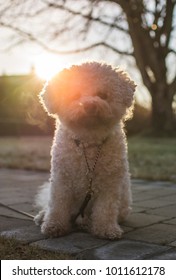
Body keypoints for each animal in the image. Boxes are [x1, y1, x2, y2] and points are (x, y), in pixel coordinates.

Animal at [34, 62, 136, 240]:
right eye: (74, 95)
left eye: (102, 95)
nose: (89, 105)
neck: (88, 141)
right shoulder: (61, 180)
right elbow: (57, 205)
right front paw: (54, 225)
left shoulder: (110, 183)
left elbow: (106, 209)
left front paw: (106, 229)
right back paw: (43, 216)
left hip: (123, 205)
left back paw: (86, 222)